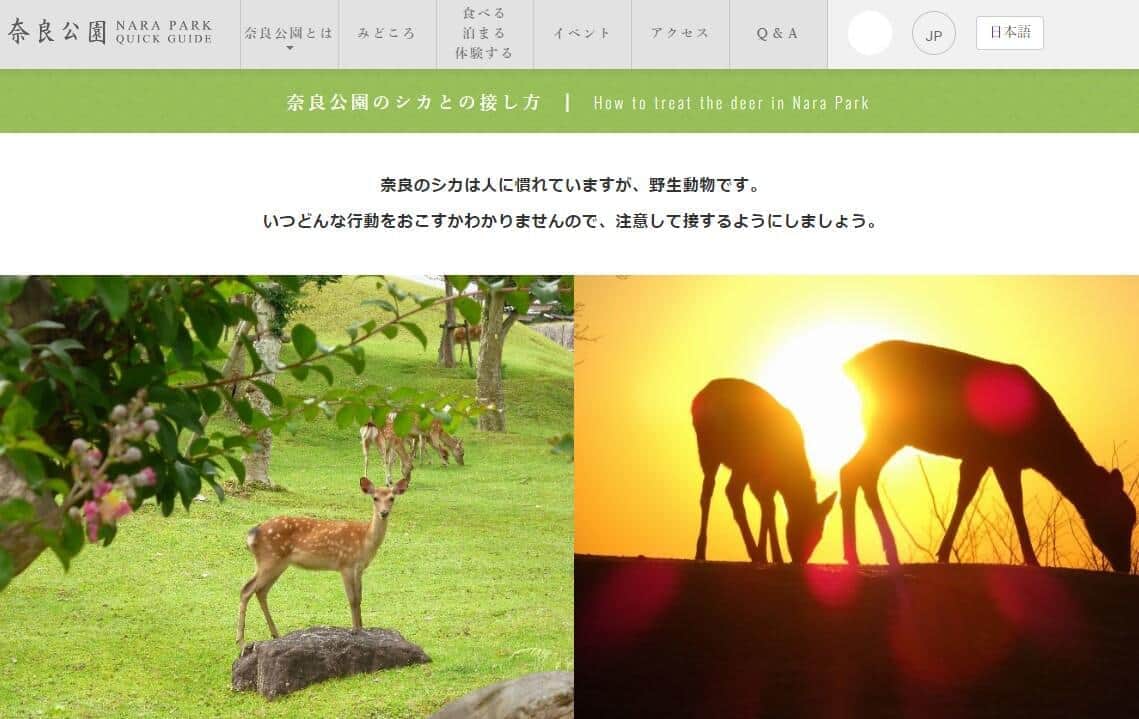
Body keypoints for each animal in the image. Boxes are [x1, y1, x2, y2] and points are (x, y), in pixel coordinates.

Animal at [236, 476, 408, 645]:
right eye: (375, 498)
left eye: (392, 498)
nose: (384, 513)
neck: (365, 540)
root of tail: (252, 534)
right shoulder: (345, 563)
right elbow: (352, 598)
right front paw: (354, 630)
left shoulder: (359, 568)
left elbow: (360, 597)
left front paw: (362, 627)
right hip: (270, 559)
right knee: (247, 589)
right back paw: (241, 640)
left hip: (276, 563)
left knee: (261, 591)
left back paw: (275, 634)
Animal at [693, 378, 837, 564]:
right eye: (814, 530)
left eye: (818, 536)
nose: (799, 559)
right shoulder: (765, 475)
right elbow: (769, 507)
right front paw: (772, 555)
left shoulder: (761, 480)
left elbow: (768, 506)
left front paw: (771, 555)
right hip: (737, 457)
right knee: (724, 491)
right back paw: (747, 553)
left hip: (715, 454)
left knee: (715, 492)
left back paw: (707, 551)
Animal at [841, 340, 1136, 572]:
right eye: (1121, 517)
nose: (1124, 566)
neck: (1039, 446)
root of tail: (851, 366)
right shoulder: (1002, 457)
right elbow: (1014, 502)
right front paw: (1032, 559)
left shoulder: (980, 456)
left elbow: (965, 495)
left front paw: (943, 553)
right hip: (888, 428)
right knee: (857, 470)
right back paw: (873, 553)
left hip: (885, 430)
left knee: (856, 471)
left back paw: (862, 554)